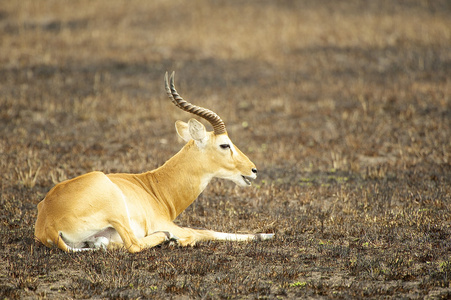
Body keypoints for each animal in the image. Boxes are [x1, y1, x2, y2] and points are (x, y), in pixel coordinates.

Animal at [34, 71, 276, 252]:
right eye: (225, 144)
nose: (253, 170)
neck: (156, 189)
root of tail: (48, 223)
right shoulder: (168, 223)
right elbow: (203, 231)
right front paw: (267, 234)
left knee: (106, 244)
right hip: (117, 209)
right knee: (134, 245)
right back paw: (168, 238)